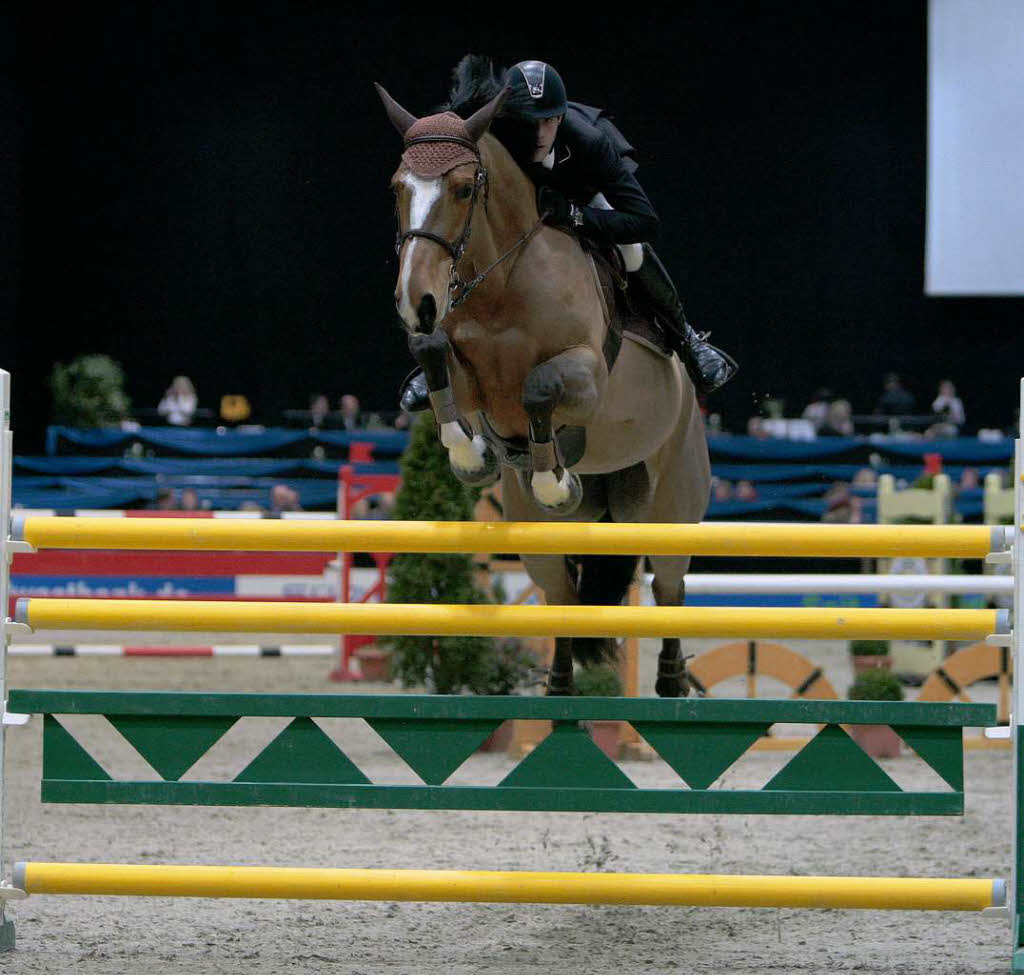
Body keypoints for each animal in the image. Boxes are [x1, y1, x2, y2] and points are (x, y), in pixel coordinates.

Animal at [378, 79, 712, 696]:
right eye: (397, 188)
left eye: (463, 189)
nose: (417, 302)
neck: (502, 286)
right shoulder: (467, 375)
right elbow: (434, 355)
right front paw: (473, 455)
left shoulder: (586, 378)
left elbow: (538, 387)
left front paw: (552, 477)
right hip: (545, 533)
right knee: (562, 597)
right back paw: (559, 686)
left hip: (672, 507)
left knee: (669, 589)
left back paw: (673, 680)